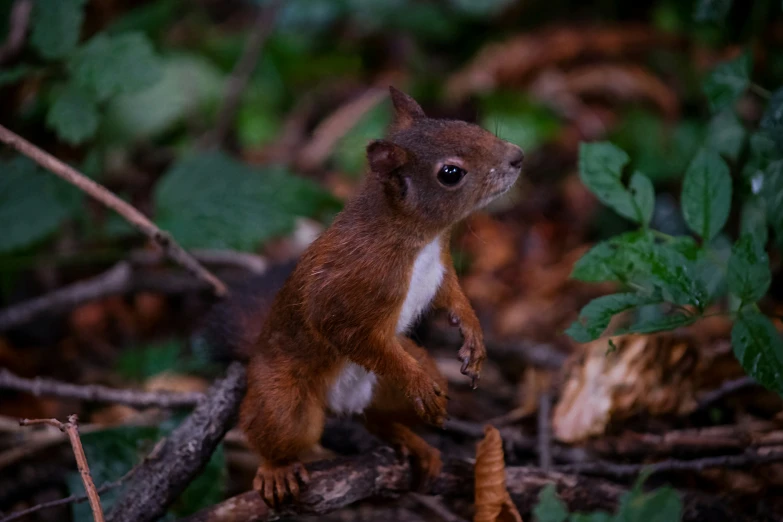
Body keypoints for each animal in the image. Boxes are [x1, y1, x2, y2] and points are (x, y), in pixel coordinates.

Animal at [208, 87, 524, 506]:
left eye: (467, 124)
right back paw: (277, 469)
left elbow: (452, 295)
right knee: (278, 425)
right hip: (285, 396)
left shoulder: (440, 268)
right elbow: (342, 329)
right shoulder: (347, 287)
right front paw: (418, 380)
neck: (419, 238)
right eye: (450, 174)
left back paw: (414, 442)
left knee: (377, 418)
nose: (517, 156)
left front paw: (472, 335)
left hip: (393, 387)